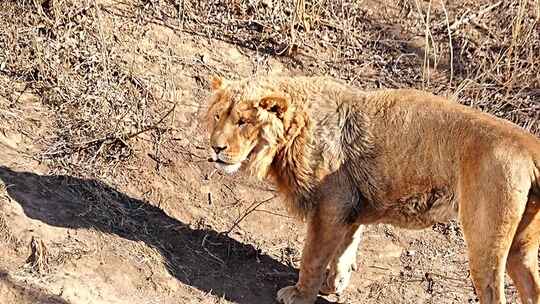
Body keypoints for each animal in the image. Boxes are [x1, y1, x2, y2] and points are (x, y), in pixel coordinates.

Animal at [205, 75, 536, 304]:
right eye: (218, 116)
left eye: (243, 121)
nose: (215, 147)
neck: (297, 128)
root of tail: (529, 145)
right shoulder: (349, 206)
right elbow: (344, 249)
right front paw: (333, 284)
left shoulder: (329, 206)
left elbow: (313, 256)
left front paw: (300, 294)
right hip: (521, 247)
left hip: (485, 242)